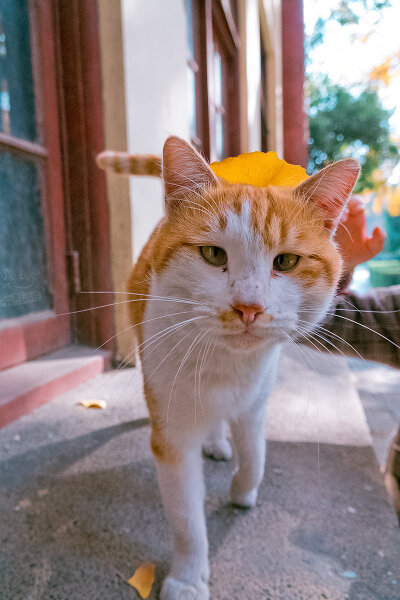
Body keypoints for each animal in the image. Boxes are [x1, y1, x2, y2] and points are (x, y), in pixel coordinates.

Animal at [96, 137, 360, 600]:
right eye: (212, 253)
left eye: (286, 262)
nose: (248, 308)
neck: (225, 365)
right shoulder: (172, 435)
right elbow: (187, 519)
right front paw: (187, 578)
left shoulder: (255, 404)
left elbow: (255, 455)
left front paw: (242, 490)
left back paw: (219, 441)